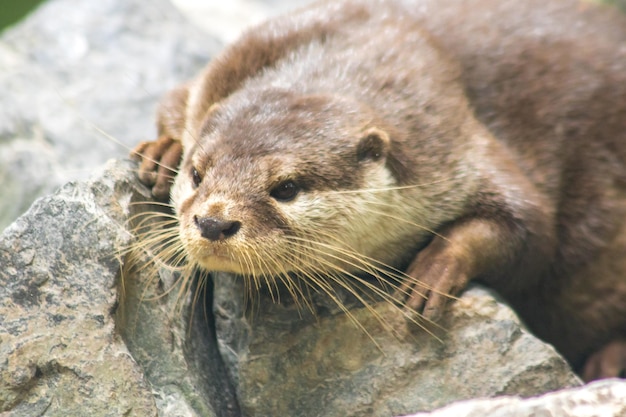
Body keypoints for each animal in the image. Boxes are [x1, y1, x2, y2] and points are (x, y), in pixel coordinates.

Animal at [132, 0, 624, 380]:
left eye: (286, 188)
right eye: (197, 173)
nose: (214, 222)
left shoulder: (454, 144)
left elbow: (531, 231)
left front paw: (432, 272)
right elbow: (173, 100)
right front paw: (163, 150)